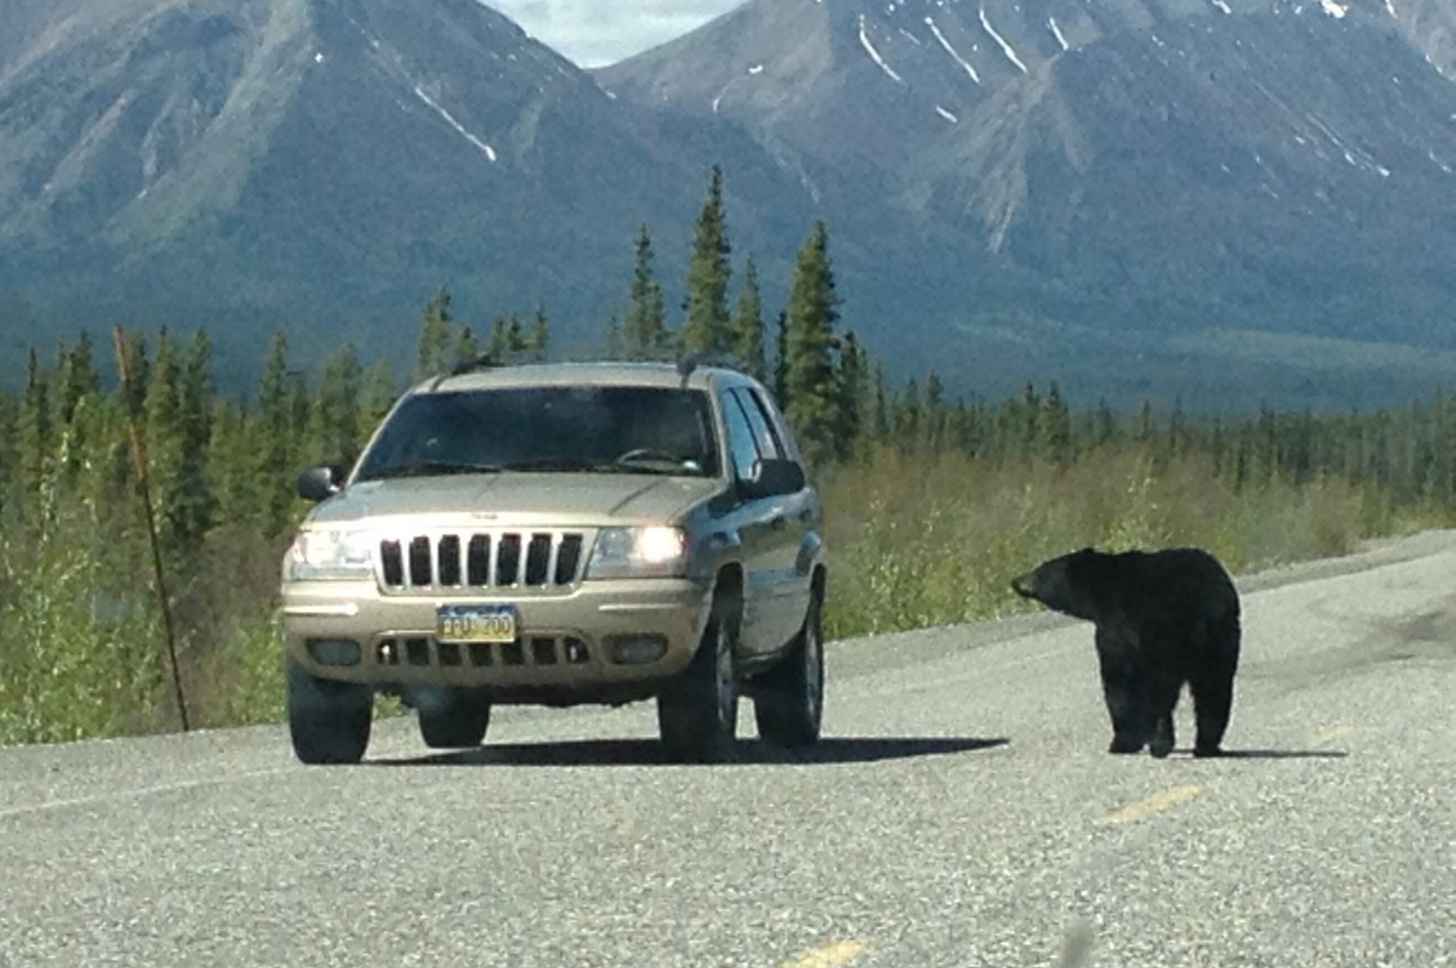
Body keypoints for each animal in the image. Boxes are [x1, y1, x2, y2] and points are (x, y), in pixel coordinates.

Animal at [1009, 546, 1241, 759]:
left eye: (1040, 571)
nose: (1016, 581)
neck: (1099, 594)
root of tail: (1203, 604)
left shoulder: (1118, 628)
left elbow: (1118, 682)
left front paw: (1123, 741)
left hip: (1162, 637)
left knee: (1160, 692)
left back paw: (1160, 743)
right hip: (1220, 639)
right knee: (1214, 689)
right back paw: (1206, 746)